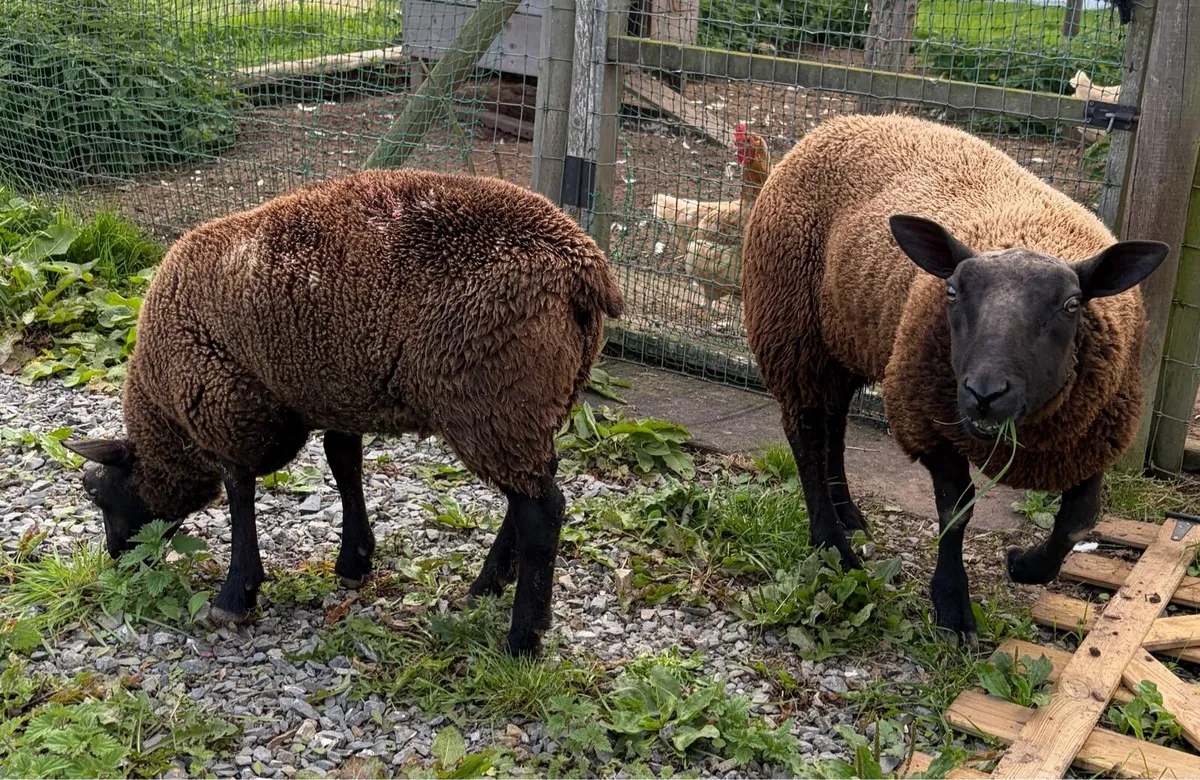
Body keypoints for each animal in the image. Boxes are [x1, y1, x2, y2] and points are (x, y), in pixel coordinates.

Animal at [63, 169, 624, 656]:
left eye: (96, 493)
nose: (116, 560)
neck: (165, 413)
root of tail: (584, 269)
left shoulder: (230, 403)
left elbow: (240, 489)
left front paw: (236, 594)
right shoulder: (335, 391)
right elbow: (343, 462)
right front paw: (355, 559)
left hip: (489, 395)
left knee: (542, 512)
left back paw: (522, 639)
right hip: (525, 404)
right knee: (533, 488)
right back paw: (488, 585)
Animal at [740, 114, 1168, 644]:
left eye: (1072, 304)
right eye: (951, 291)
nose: (984, 394)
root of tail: (836, 123)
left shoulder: (1089, 435)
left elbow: (1079, 521)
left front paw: (1025, 566)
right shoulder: (928, 422)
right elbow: (956, 513)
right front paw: (953, 607)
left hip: (842, 341)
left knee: (831, 432)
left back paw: (851, 519)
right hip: (792, 333)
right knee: (804, 438)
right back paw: (832, 545)